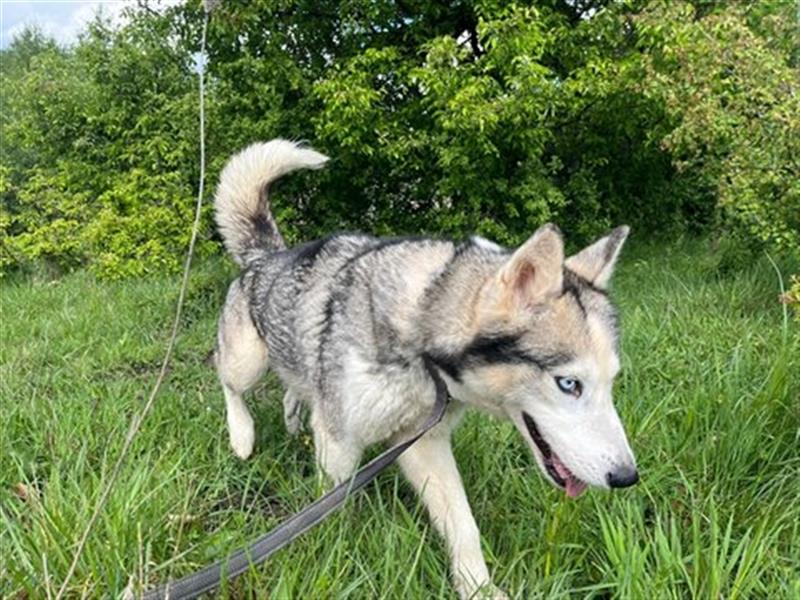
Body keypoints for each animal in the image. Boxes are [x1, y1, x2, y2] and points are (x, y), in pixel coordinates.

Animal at [212, 142, 636, 600]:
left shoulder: (422, 441)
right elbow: (333, 509)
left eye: (611, 382)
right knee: (227, 377)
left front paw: (478, 588)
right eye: (569, 383)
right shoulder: (340, 441)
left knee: (297, 386)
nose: (627, 477)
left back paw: (292, 419)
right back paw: (241, 435)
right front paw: (333, 553)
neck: (420, 339)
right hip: (247, 361)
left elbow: (464, 525)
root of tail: (267, 253)